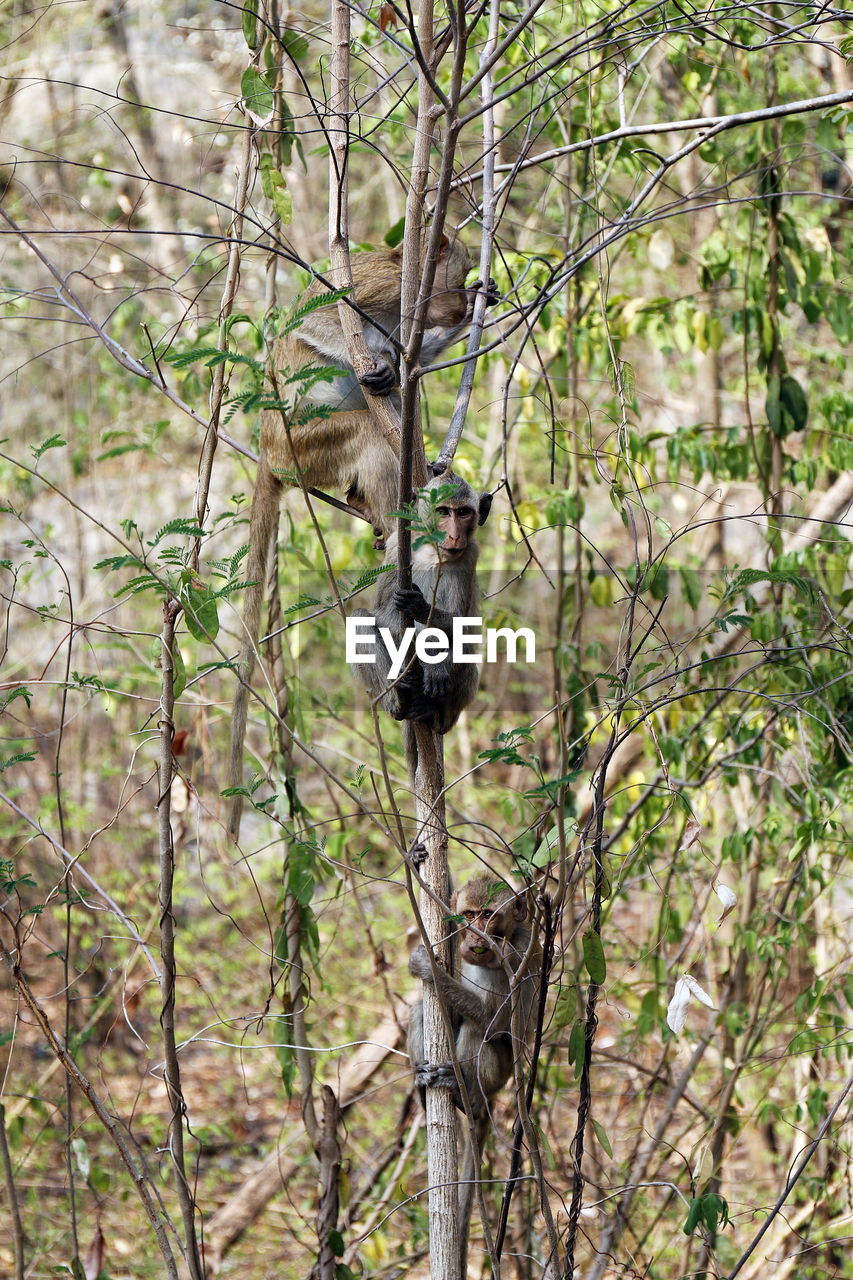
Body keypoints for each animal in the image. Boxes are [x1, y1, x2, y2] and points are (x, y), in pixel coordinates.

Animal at [348, 471, 491, 768]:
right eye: (443, 511)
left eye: (463, 512)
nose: (453, 535)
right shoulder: (395, 548)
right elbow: (382, 612)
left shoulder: (470, 554)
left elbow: (462, 626)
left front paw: (422, 609)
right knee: (360, 619)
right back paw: (397, 693)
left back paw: (434, 715)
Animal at [407, 875, 537, 1274]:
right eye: (468, 915)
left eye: (489, 915)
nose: (476, 938)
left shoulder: (521, 953)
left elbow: (499, 1024)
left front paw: (429, 968)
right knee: (420, 1008)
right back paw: (424, 1086)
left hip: (499, 1075)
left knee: (481, 1033)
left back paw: (470, 1100)